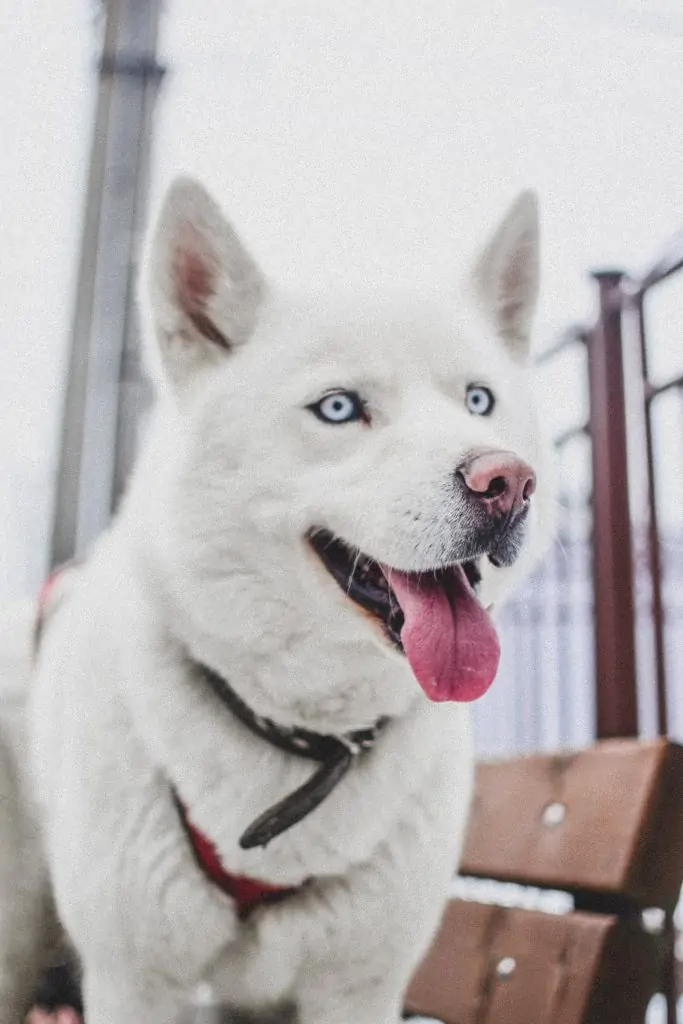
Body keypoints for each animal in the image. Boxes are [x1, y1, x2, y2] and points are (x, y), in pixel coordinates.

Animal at [0, 182, 557, 1024]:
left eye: (477, 399)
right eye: (338, 409)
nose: (508, 482)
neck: (306, 739)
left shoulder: (357, 989)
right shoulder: (135, 983)